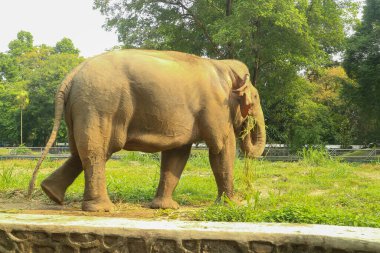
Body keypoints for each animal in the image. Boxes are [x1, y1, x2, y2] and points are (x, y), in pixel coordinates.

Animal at [28, 49, 266, 211]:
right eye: (255, 97)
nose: (248, 125)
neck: (223, 67)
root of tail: (73, 73)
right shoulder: (216, 108)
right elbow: (221, 148)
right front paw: (233, 205)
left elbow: (177, 154)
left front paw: (165, 208)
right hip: (99, 104)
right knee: (97, 151)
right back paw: (103, 209)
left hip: (83, 108)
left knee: (82, 151)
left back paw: (51, 194)